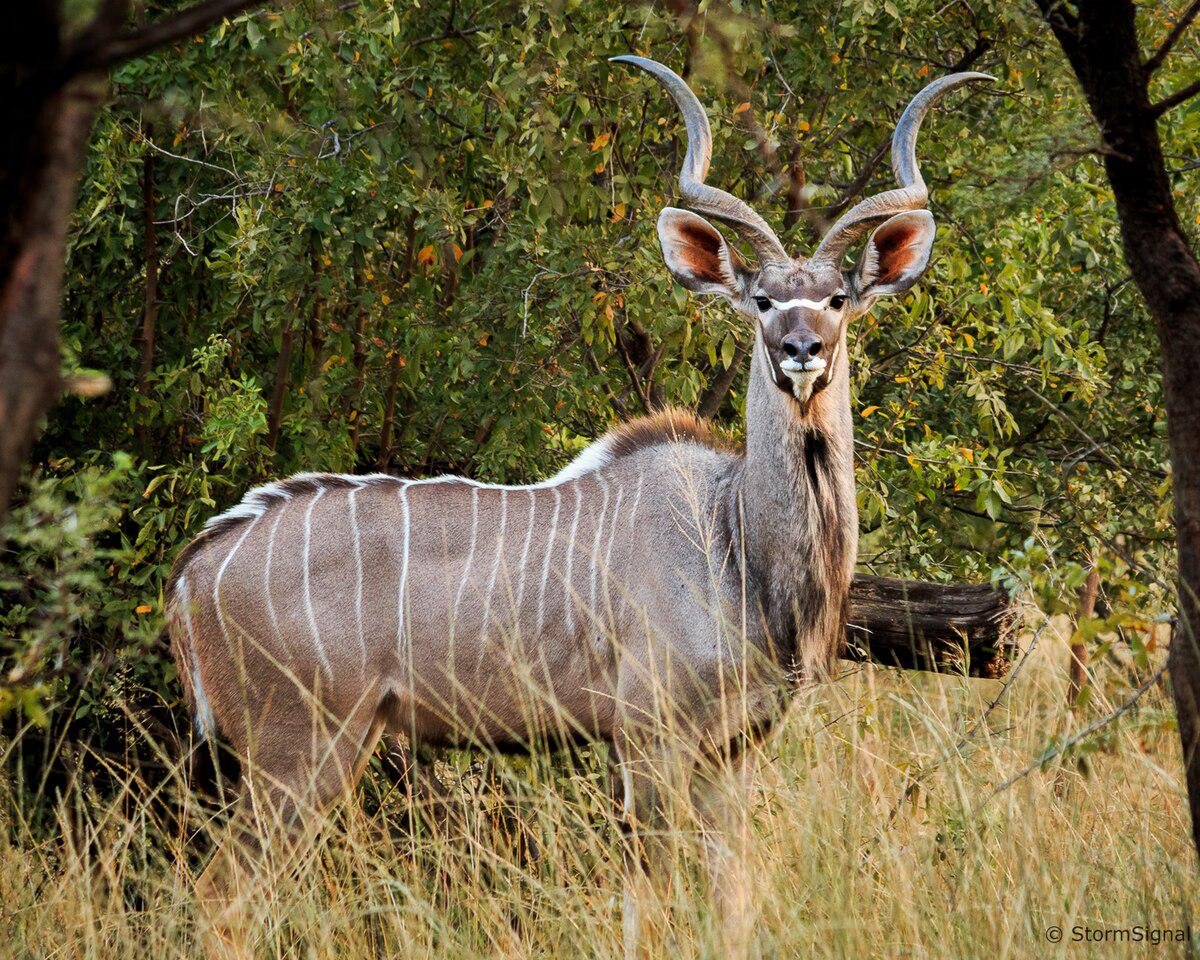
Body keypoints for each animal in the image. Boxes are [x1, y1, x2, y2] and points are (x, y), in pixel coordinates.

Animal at [169, 56, 993, 955]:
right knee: (218, 895)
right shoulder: (648, 740)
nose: (800, 351)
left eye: (838, 300)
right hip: (298, 752)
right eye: (763, 300)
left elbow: (730, 896)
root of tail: (194, 572)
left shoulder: (732, 752)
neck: (732, 537)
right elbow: (649, 900)